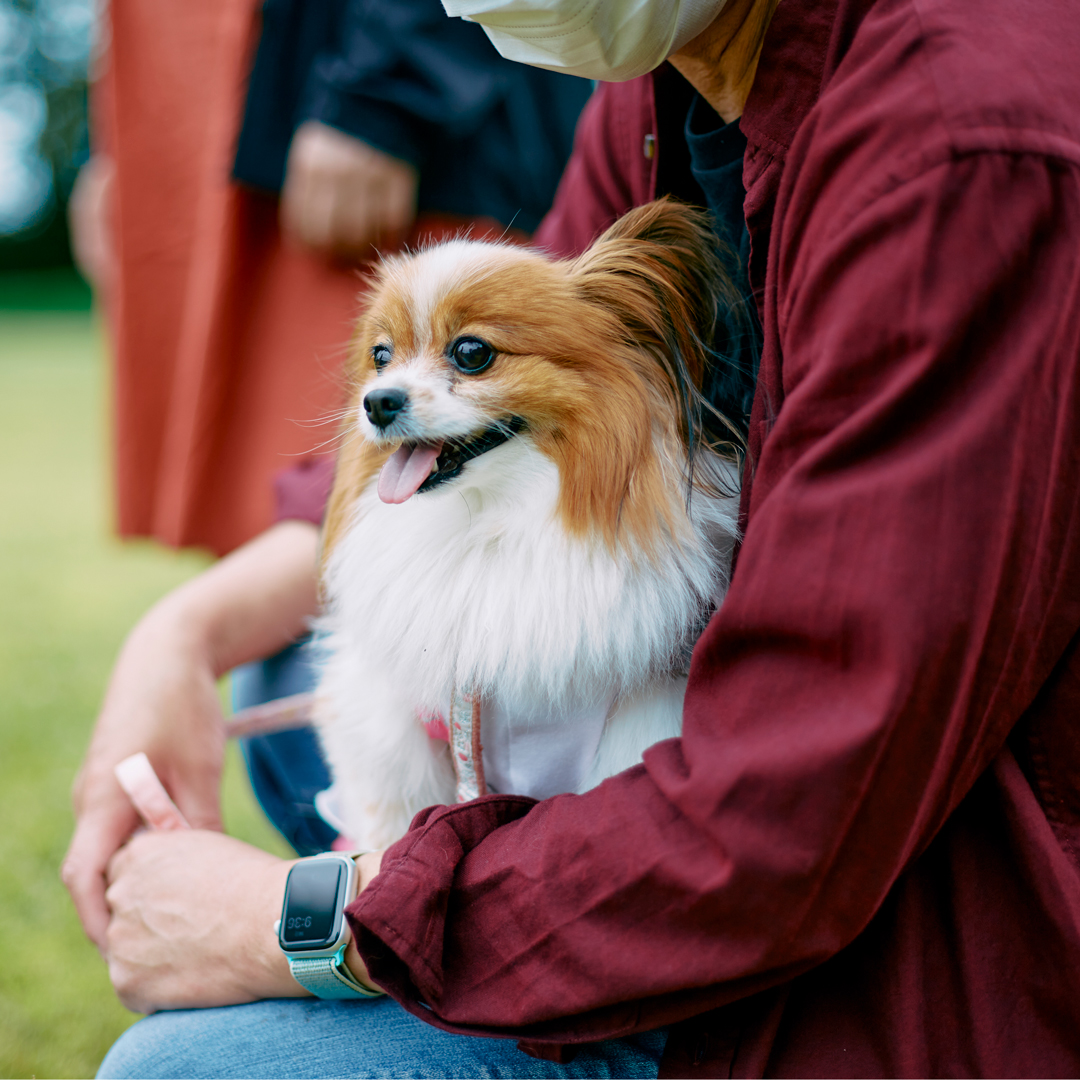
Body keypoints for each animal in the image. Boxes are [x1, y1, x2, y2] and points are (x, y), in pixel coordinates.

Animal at [313, 198, 743, 846]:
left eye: (472, 353)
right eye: (381, 356)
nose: (378, 401)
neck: (489, 525)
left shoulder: (637, 728)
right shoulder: (400, 737)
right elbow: (390, 828)